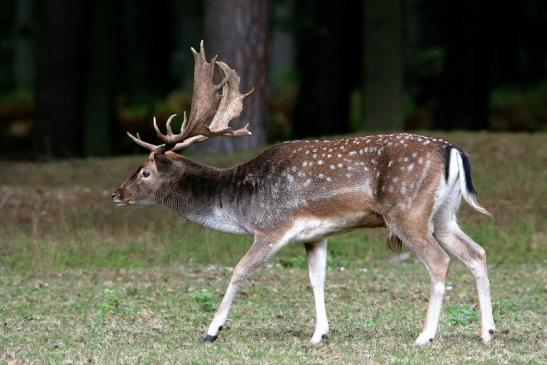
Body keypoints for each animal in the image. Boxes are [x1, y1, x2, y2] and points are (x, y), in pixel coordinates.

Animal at [112, 41, 496, 346]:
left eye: (144, 171)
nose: (117, 193)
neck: (240, 203)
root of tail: (452, 150)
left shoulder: (271, 228)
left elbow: (239, 270)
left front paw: (212, 331)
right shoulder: (315, 235)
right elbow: (316, 280)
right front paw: (319, 334)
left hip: (407, 211)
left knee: (440, 262)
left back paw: (425, 336)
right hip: (443, 215)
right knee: (476, 253)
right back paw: (487, 332)